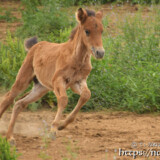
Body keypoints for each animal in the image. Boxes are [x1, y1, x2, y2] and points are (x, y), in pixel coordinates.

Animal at [0, 8, 105, 144]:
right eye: (87, 31)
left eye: (101, 31)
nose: (100, 53)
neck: (77, 58)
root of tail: (35, 46)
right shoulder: (58, 80)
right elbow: (64, 99)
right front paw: (53, 130)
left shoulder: (77, 82)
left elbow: (86, 95)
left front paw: (62, 125)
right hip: (23, 79)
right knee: (8, 98)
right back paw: (9, 135)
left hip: (41, 88)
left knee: (19, 104)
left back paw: (10, 137)